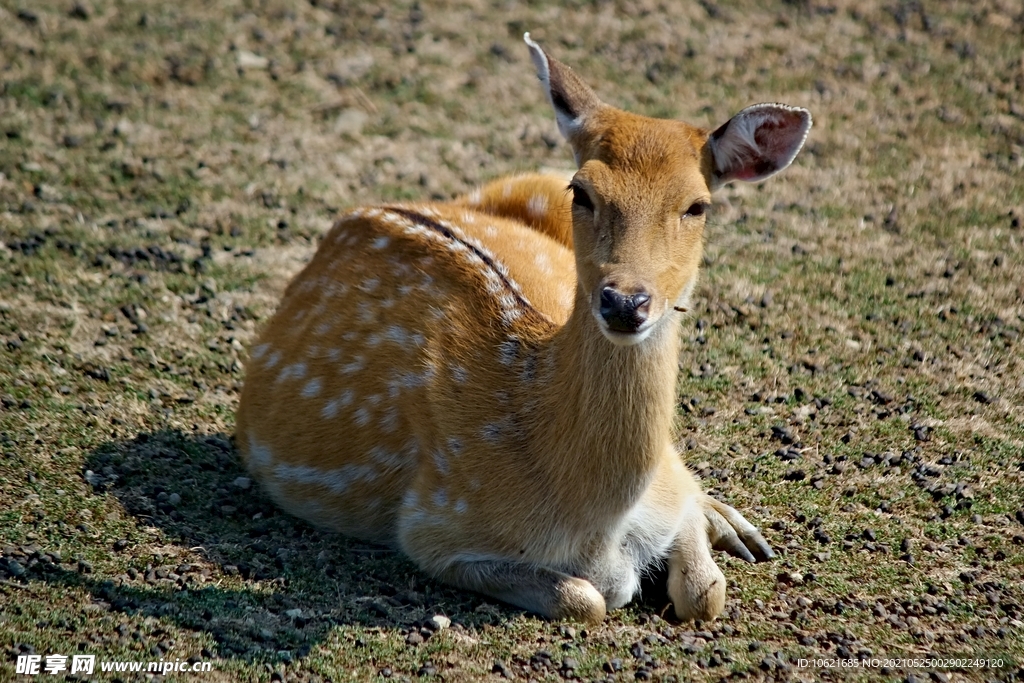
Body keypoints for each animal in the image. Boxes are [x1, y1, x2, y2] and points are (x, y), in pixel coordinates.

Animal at [236, 34, 811, 624]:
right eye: (583, 191)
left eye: (698, 205)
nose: (624, 302)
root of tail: (360, 210)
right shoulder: (433, 526)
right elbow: (589, 598)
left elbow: (703, 591)